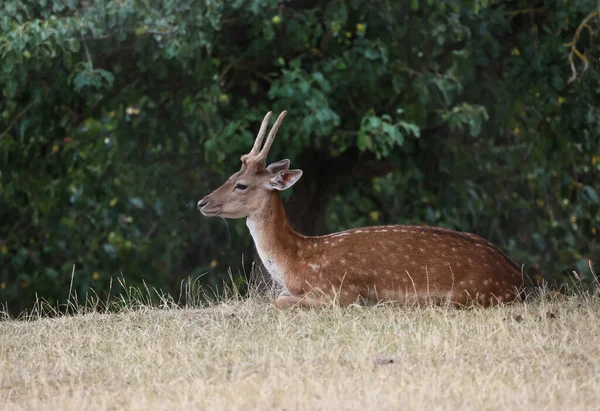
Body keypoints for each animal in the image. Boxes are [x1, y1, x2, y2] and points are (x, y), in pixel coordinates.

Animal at [198, 109, 524, 308]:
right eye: (231, 176)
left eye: (241, 185)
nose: (202, 202)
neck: (295, 263)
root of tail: (519, 278)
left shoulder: (336, 289)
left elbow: (280, 301)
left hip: (465, 294)